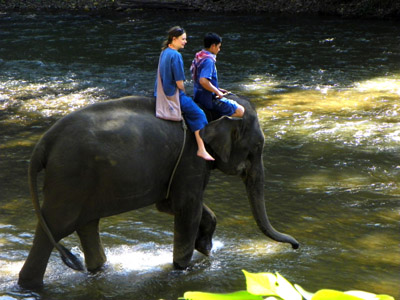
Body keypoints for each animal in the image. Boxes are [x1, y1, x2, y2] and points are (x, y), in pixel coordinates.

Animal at [18, 95, 298, 290]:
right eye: (258, 146)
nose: (296, 246)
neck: (210, 111)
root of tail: (43, 144)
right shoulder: (192, 158)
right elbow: (187, 207)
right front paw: (183, 268)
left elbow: (171, 205)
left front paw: (205, 247)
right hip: (70, 179)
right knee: (54, 228)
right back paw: (29, 285)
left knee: (86, 224)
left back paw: (100, 269)